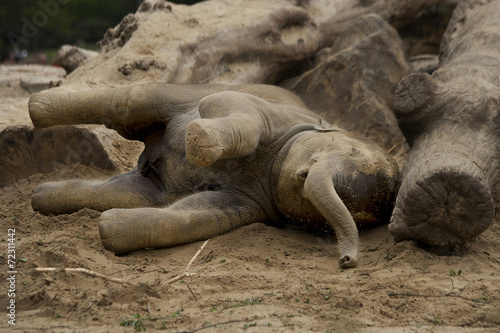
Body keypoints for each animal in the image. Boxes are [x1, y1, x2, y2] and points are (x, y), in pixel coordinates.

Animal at [30, 83, 398, 268]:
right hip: (179, 94)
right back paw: (36, 107)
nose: (346, 261)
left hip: (147, 181)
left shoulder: (257, 203)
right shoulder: (273, 113)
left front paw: (108, 228)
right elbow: (222, 104)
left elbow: (197, 214)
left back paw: (39, 198)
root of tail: (150, 153)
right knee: (130, 100)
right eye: (346, 153)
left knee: (128, 191)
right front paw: (197, 138)